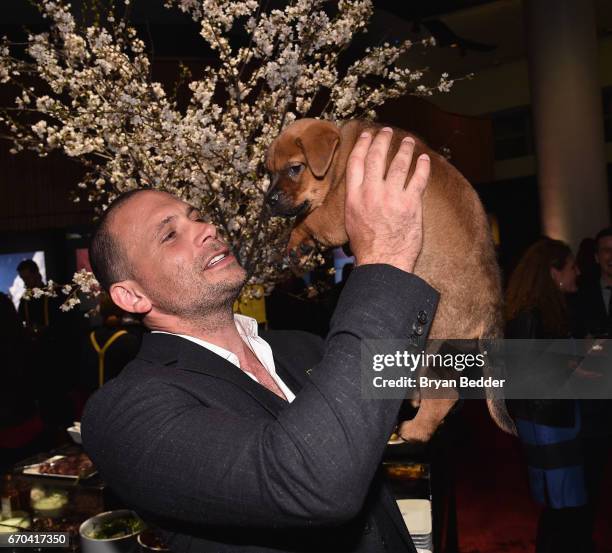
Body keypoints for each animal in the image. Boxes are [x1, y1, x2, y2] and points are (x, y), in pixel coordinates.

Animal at [266, 118, 512, 442]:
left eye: (295, 168)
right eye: (269, 172)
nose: (267, 201)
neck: (343, 152)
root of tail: (492, 308)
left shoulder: (337, 213)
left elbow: (307, 218)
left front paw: (294, 240)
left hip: (425, 345)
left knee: (441, 393)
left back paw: (413, 429)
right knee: (445, 391)